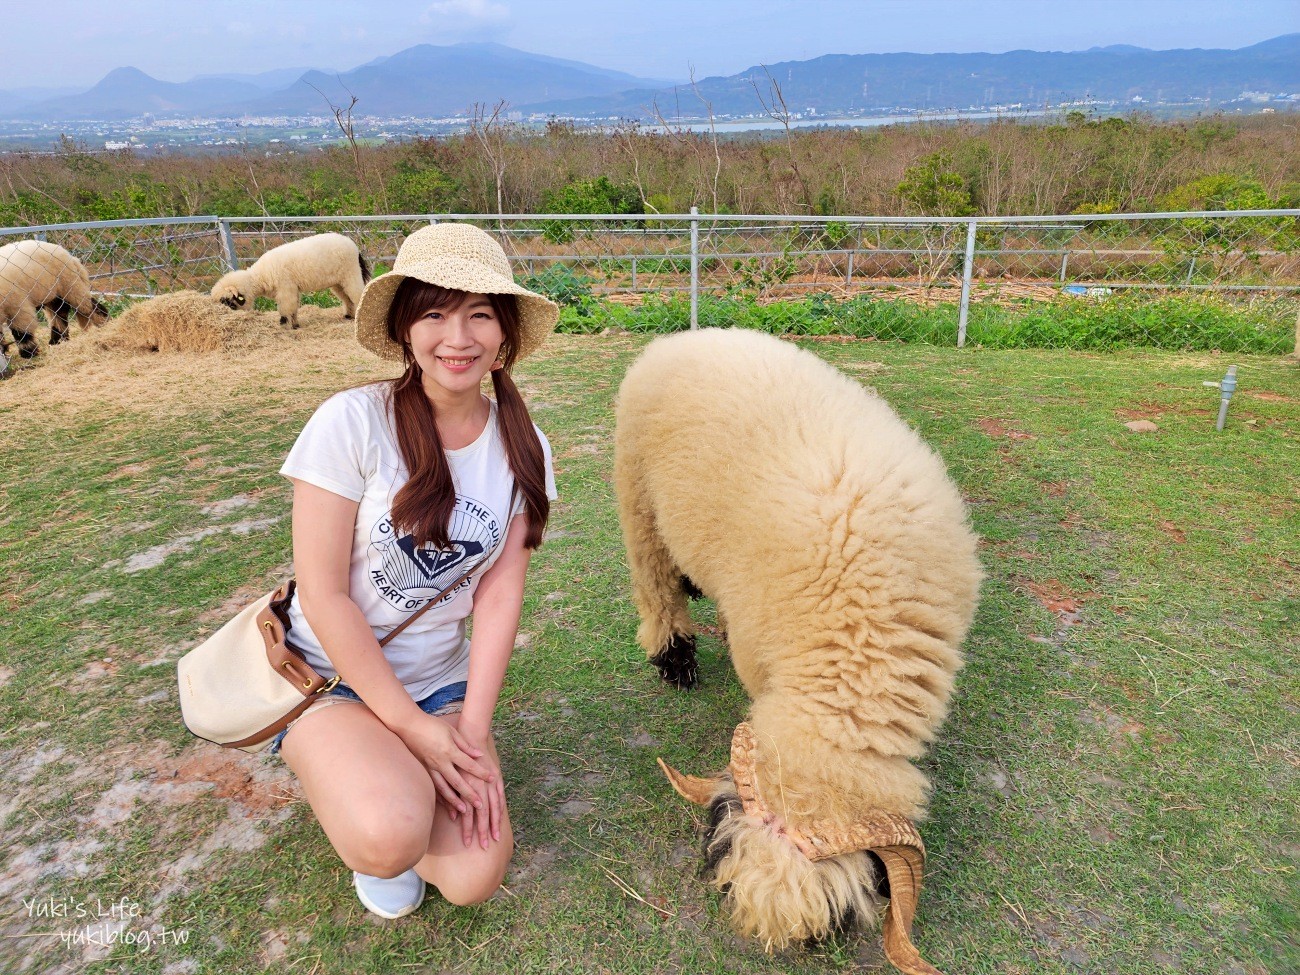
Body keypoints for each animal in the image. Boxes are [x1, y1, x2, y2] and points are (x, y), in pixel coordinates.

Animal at [209, 231, 369, 330]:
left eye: (227, 301)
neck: (260, 277)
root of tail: (355, 247)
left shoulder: (285, 288)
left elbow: (286, 308)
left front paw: (285, 325)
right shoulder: (292, 289)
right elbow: (294, 308)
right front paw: (295, 324)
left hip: (351, 273)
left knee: (357, 294)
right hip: (338, 282)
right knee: (347, 298)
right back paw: (349, 316)